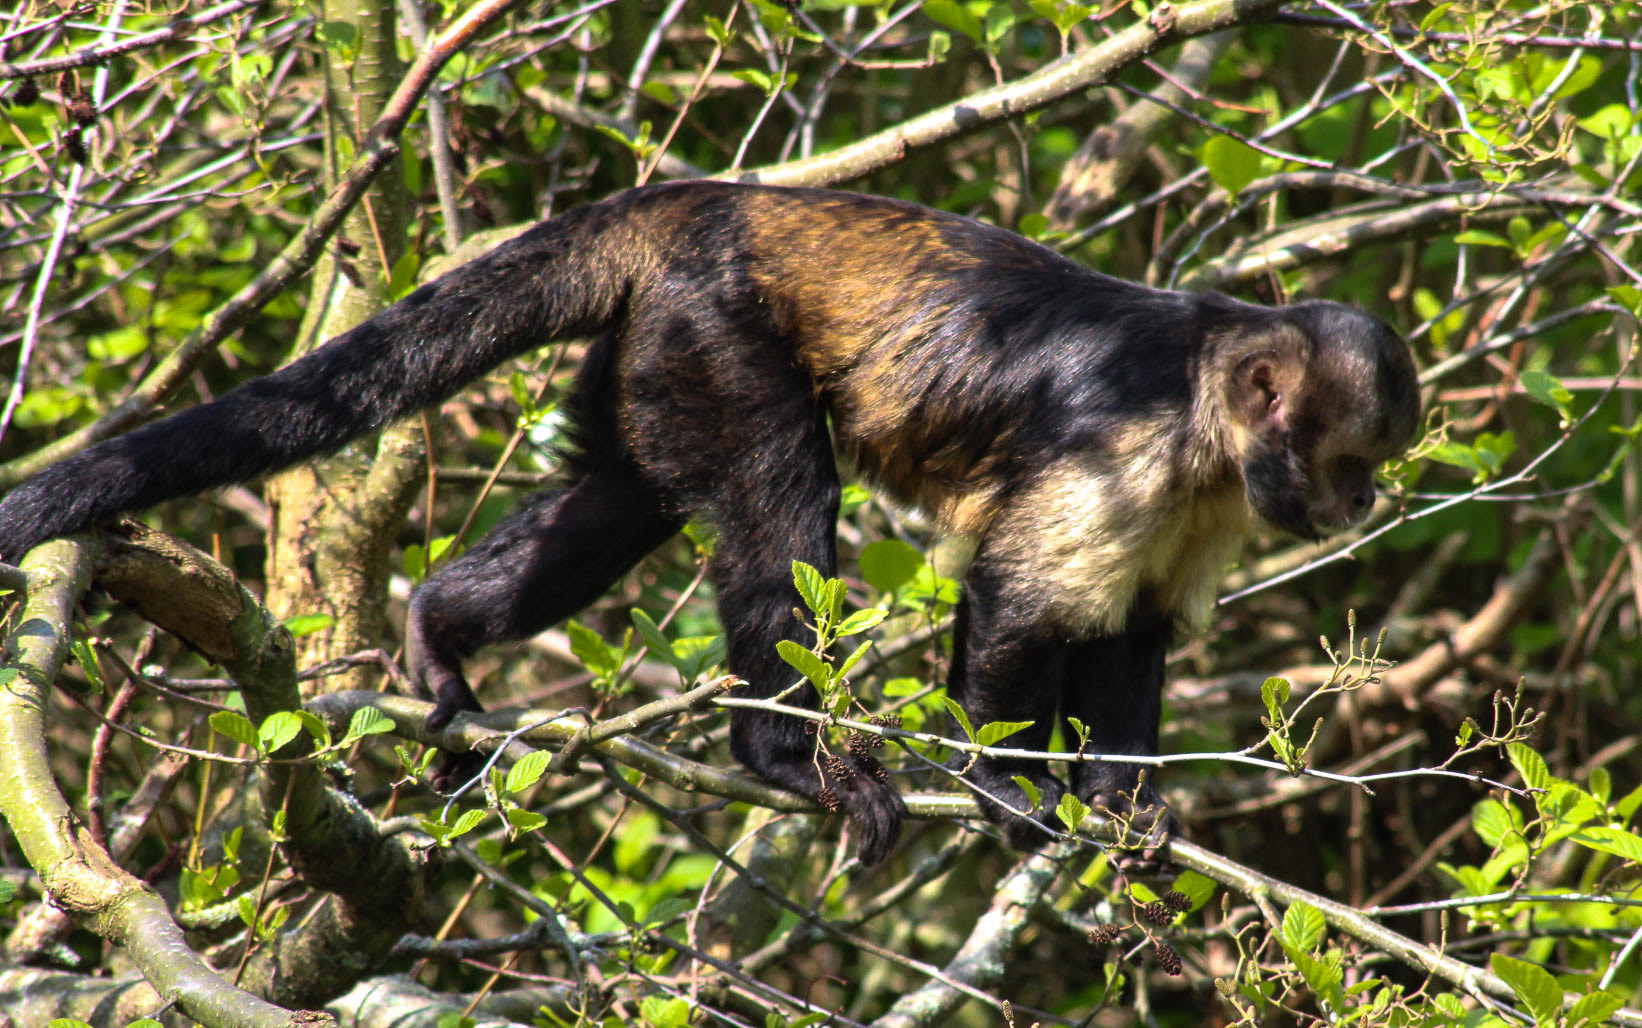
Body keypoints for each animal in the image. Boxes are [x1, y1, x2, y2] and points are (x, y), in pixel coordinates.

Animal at [0, 181, 1421, 866]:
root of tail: (700, 194)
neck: (1203, 404)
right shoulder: (1127, 443)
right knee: (778, 496)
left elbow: (1131, 635)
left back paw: (437, 636)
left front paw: (1124, 814)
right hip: (713, 322)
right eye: (1352, 460)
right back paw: (782, 754)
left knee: (623, 499)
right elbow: (1019, 601)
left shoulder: (1208, 490)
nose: (1360, 501)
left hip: (653, 343)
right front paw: (1008, 787)